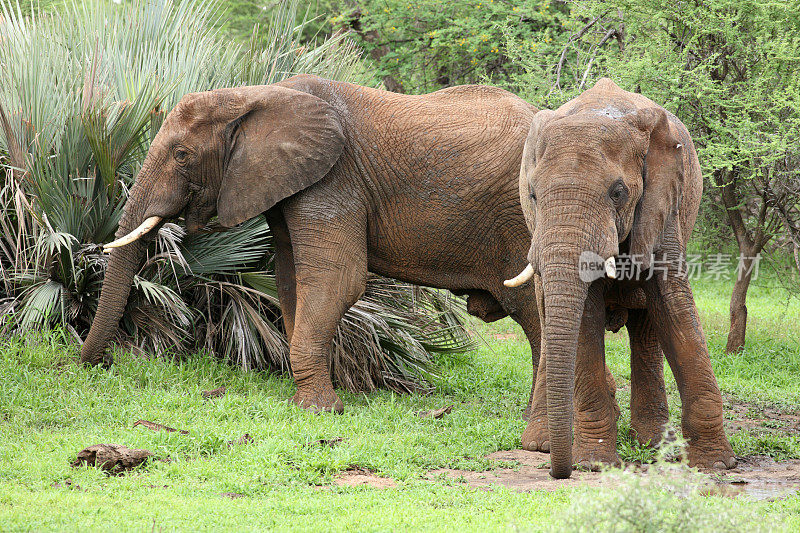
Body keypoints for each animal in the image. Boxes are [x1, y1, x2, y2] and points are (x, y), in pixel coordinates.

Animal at [506, 76, 736, 478]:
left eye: (618, 192)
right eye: (532, 194)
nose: (559, 472)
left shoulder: (662, 202)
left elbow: (675, 308)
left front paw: (716, 464)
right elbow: (585, 316)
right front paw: (594, 463)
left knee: (646, 326)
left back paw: (654, 443)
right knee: (548, 316)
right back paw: (541, 444)